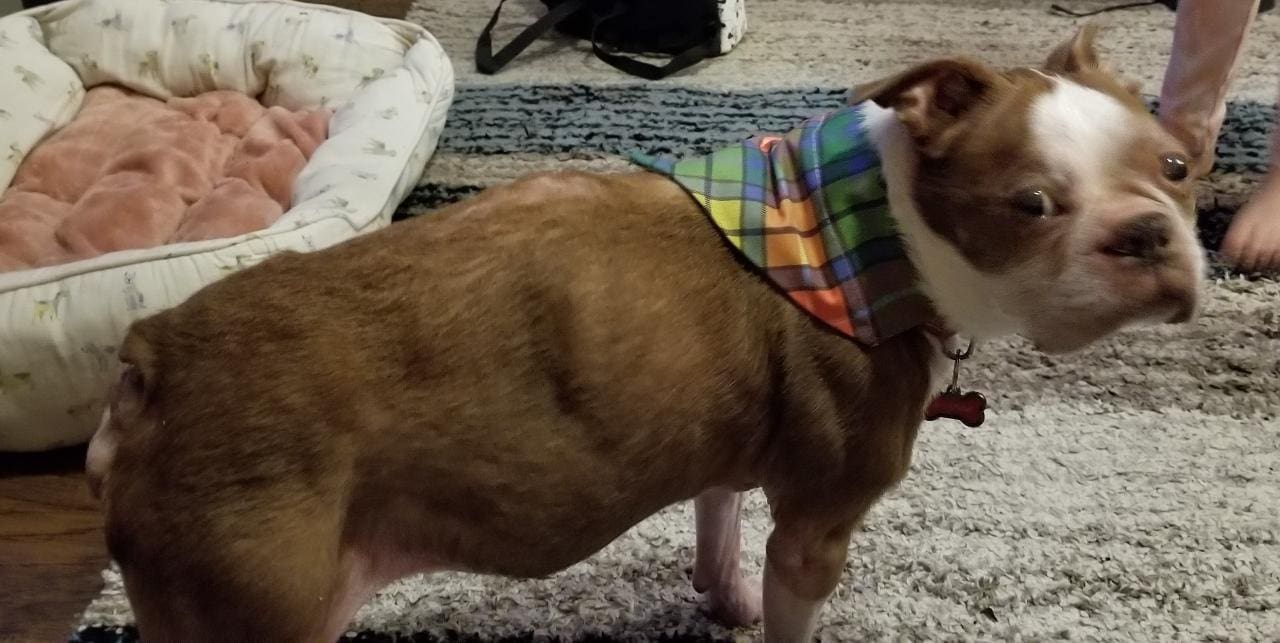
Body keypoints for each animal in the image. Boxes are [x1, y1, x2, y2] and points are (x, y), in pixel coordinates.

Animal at [87, 27, 1198, 640]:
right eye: (1029, 205)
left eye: (1178, 166)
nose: (1149, 233)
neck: (869, 224)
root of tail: (153, 363)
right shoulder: (820, 528)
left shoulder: (726, 444)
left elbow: (718, 521)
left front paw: (723, 598)